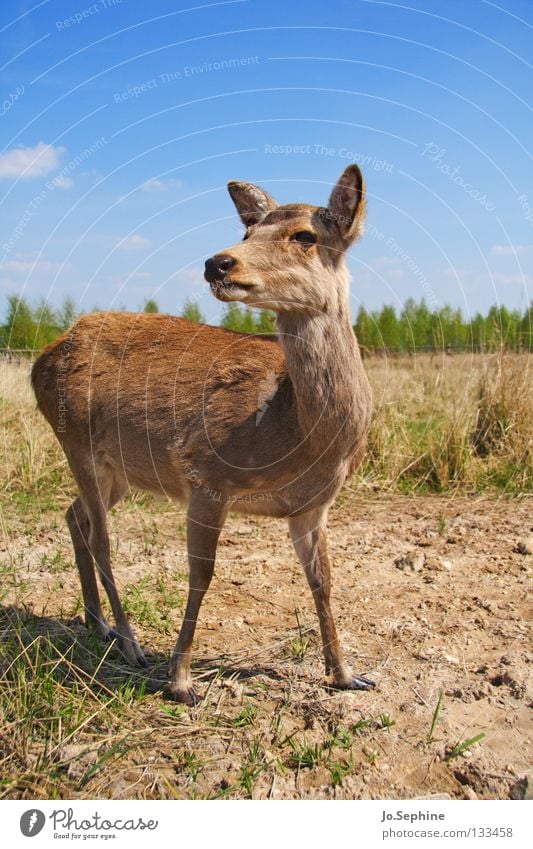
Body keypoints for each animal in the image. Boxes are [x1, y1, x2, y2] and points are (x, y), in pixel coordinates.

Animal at [31, 164, 374, 704]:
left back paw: (96, 623)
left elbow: (323, 580)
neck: (296, 431)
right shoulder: (206, 476)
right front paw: (180, 680)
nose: (218, 262)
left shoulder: (312, 506)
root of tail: (41, 359)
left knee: (74, 517)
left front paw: (345, 674)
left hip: (117, 469)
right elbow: (202, 574)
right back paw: (130, 644)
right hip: (75, 441)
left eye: (305, 236)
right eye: (247, 233)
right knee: (101, 537)